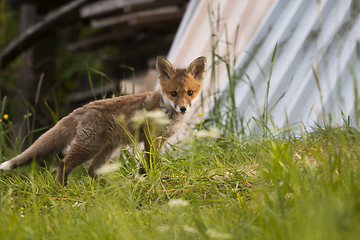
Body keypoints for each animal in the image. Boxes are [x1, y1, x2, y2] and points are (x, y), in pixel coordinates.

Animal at [0, 56, 207, 186]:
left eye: (190, 92)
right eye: (173, 93)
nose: (183, 108)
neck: (167, 112)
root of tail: (82, 108)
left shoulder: (160, 140)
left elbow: (146, 164)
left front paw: (143, 178)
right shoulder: (151, 138)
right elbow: (150, 162)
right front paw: (152, 178)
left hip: (108, 149)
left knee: (92, 171)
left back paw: (109, 186)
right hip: (89, 147)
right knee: (63, 164)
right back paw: (61, 189)